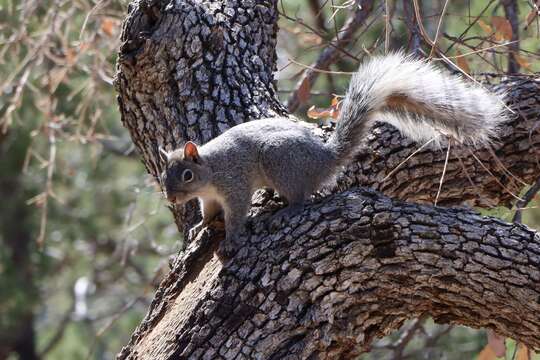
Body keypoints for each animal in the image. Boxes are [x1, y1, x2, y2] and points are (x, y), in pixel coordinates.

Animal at [159, 53, 506, 256]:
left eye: (187, 174)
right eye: (164, 176)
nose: (172, 199)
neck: (210, 171)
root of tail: (325, 158)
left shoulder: (235, 185)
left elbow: (236, 214)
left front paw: (231, 239)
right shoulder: (209, 197)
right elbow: (208, 213)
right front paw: (200, 227)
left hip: (279, 160)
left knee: (300, 198)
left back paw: (285, 211)